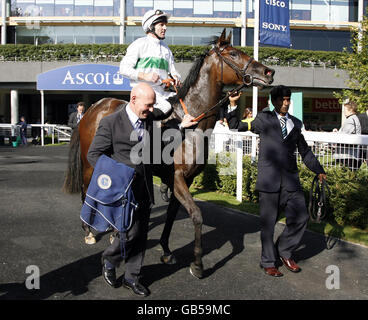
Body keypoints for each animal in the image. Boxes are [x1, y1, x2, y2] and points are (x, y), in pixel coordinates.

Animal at [63, 30, 274, 280]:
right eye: (233, 53)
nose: (268, 72)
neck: (191, 123)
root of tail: (94, 107)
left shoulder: (186, 180)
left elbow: (173, 214)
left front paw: (165, 250)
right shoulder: (177, 177)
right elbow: (196, 215)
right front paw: (197, 264)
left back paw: (115, 231)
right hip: (89, 163)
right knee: (86, 190)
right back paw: (89, 231)